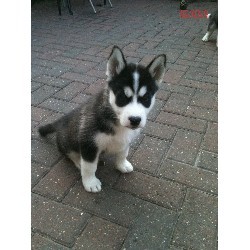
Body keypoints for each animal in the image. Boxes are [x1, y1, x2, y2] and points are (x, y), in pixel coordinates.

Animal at [38, 45, 166, 193]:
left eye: (145, 98)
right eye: (122, 97)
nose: (135, 120)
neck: (114, 117)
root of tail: (62, 120)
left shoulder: (125, 140)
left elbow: (123, 152)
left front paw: (122, 164)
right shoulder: (88, 142)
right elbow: (89, 166)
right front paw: (90, 182)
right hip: (68, 140)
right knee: (69, 153)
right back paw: (78, 161)